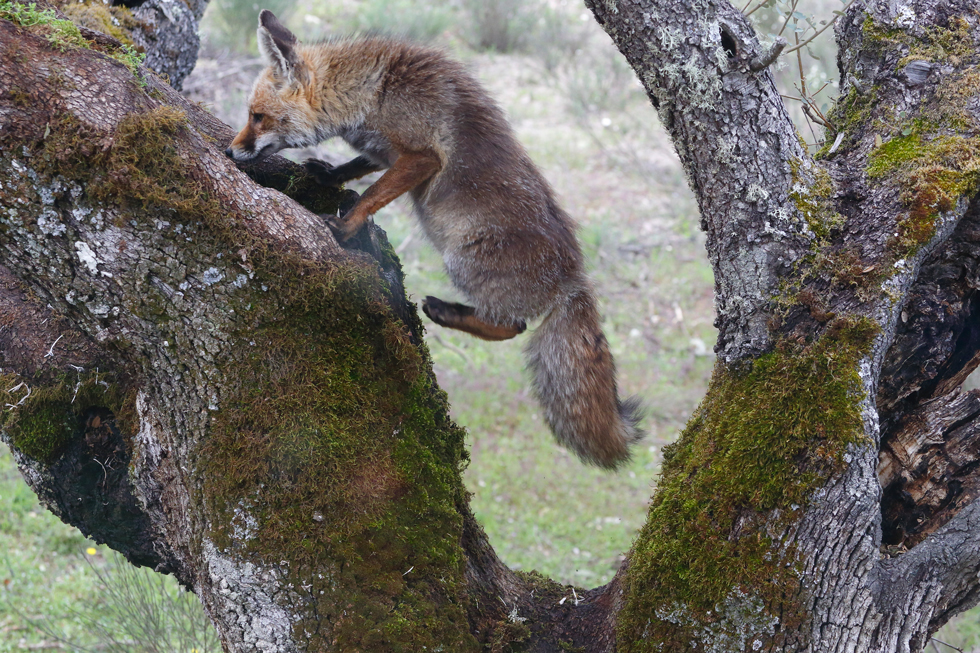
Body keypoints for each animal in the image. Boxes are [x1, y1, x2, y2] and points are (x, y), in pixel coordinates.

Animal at [227, 10, 648, 468]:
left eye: (257, 117)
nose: (229, 153)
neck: (373, 91)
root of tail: (575, 277)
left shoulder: (420, 156)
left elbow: (371, 196)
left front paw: (345, 227)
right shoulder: (386, 151)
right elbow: (359, 166)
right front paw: (330, 174)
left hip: (462, 260)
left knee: (513, 325)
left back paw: (445, 311)